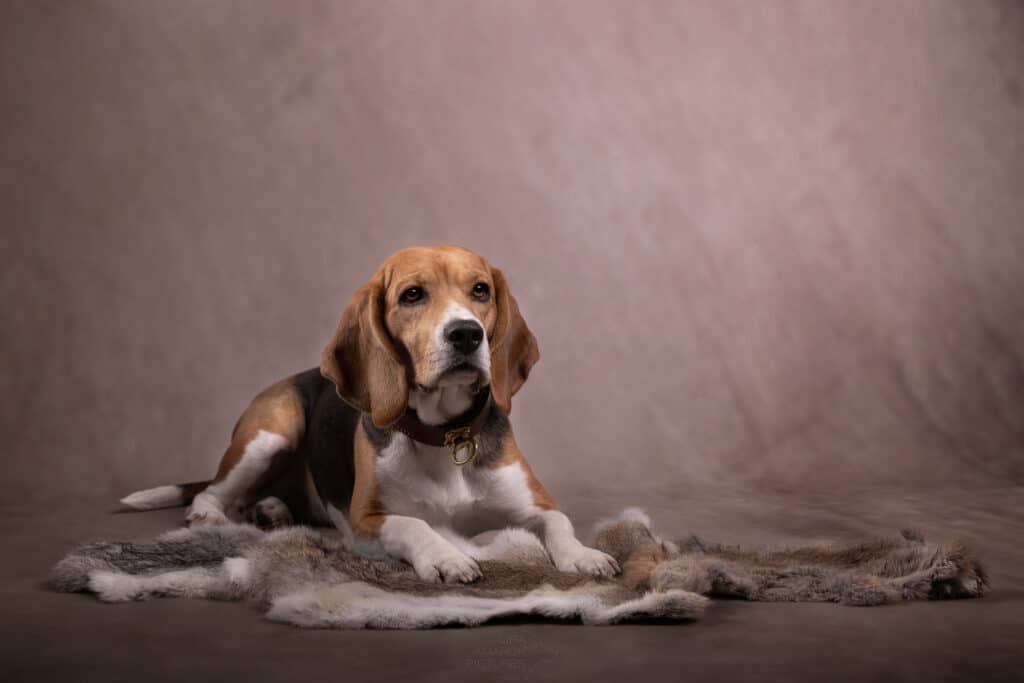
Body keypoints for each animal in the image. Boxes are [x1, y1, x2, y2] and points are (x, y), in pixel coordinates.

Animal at [121, 245, 619, 583]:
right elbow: (414, 523)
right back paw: (212, 516)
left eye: (480, 289)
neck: (443, 435)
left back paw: (273, 510)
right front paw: (447, 556)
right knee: (214, 491)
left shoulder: (536, 503)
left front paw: (583, 555)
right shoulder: (366, 522)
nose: (466, 333)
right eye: (412, 295)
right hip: (272, 431)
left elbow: (559, 522)